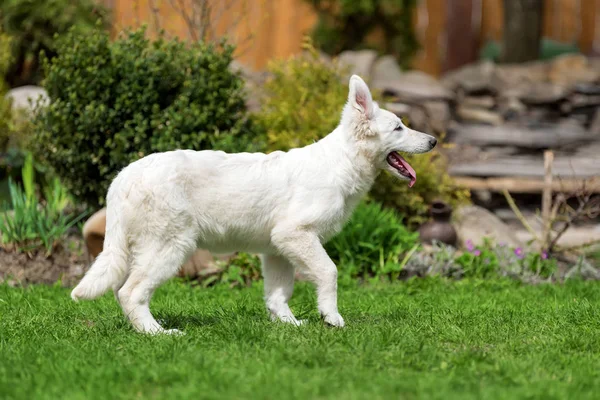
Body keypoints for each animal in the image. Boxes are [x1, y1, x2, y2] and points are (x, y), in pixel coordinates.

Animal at [71, 76, 436, 334]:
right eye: (398, 127)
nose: (434, 140)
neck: (341, 161)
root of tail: (123, 177)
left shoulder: (277, 247)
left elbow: (278, 294)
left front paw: (289, 326)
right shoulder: (296, 234)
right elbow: (329, 272)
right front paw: (332, 317)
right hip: (170, 245)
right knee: (130, 292)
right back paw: (156, 333)